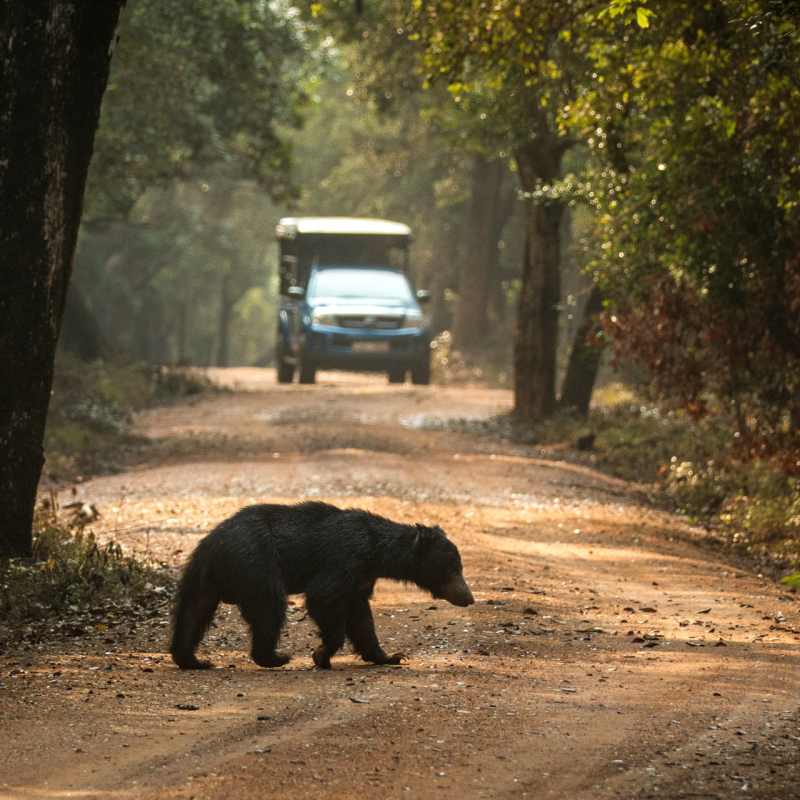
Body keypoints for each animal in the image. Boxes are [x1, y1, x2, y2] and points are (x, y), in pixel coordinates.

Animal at [170, 501, 474, 670]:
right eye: (454, 569)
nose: (468, 597)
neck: (377, 555)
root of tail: (213, 542)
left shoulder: (361, 579)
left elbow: (361, 619)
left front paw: (388, 656)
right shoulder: (345, 559)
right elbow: (324, 597)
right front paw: (321, 654)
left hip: (202, 576)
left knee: (193, 611)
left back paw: (193, 660)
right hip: (257, 562)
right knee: (270, 607)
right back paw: (275, 656)